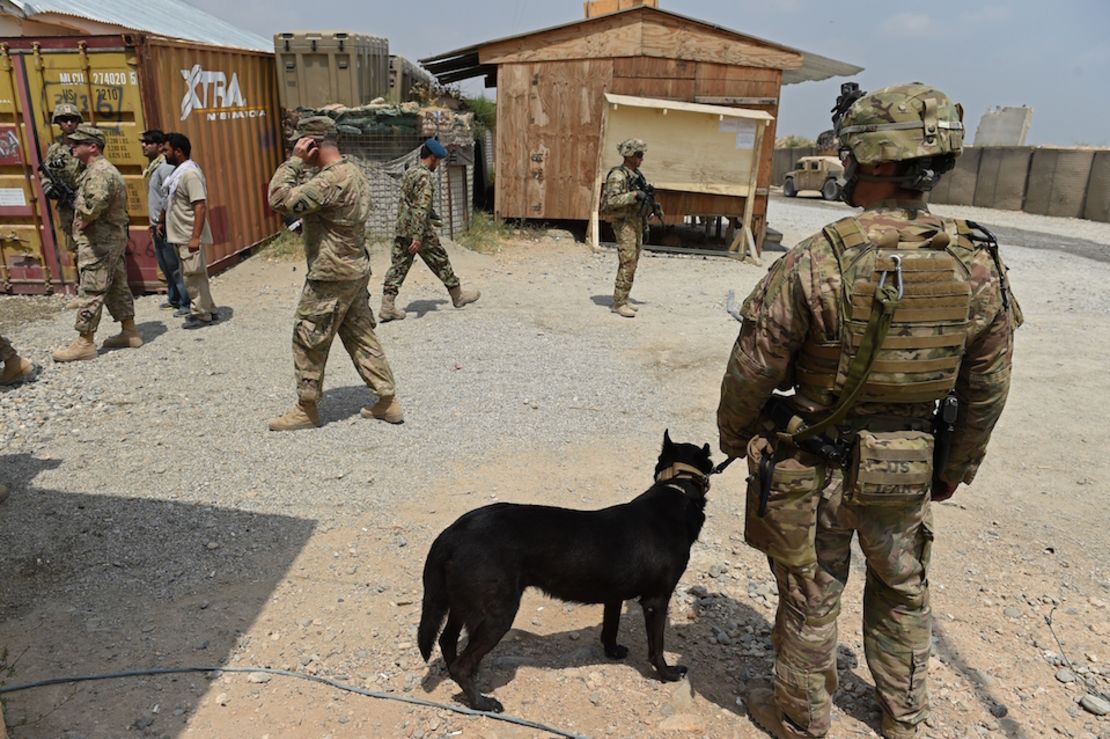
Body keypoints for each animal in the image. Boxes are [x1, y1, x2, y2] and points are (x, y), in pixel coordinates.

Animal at [417, 428, 710, 710]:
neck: (677, 489)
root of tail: (452, 533)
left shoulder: (614, 596)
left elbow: (610, 627)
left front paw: (612, 652)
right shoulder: (656, 601)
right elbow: (657, 646)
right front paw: (667, 674)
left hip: (461, 603)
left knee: (447, 642)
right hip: (496, 614)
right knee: (462, 664)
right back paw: (481, 702)